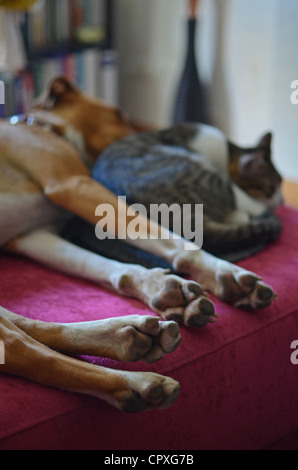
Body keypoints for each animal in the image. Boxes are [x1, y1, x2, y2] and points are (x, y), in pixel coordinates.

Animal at [62, 121, 282, 266]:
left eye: (281, 183)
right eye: (271, 187)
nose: (281, 199)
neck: (229, 152)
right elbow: (245, 199)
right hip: (199, 170)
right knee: (239, 204)